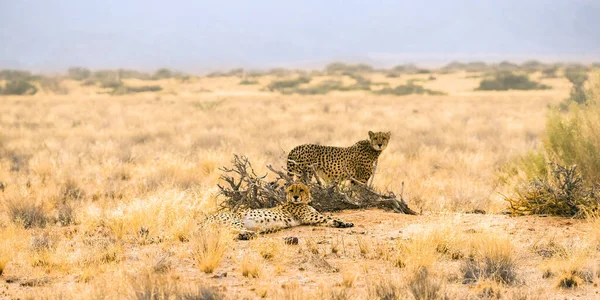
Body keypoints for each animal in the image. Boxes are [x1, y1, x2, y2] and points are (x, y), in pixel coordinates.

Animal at [205, 182, 352, 240]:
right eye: (291, 190)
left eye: (301, 190)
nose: (295, 197)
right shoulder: (311, 217)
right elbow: (329, 218)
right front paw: (344, 223)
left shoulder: (311, 219)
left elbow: (327, 220)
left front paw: (340, 223)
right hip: (235, 221)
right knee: (230, 231)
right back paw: (250, 234)